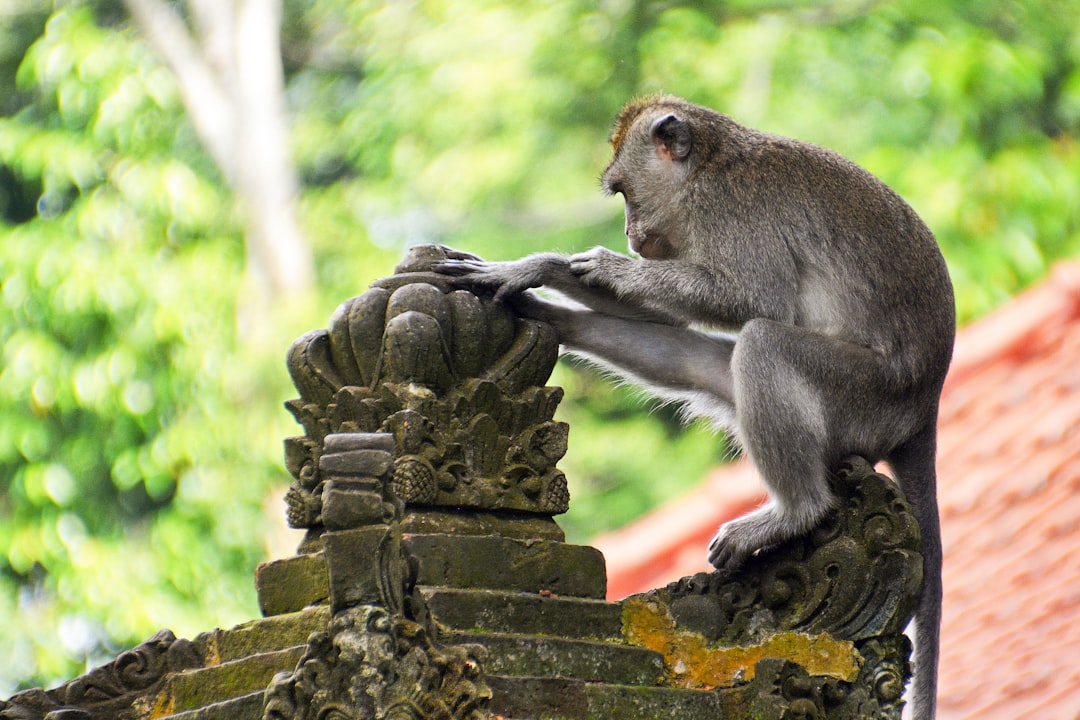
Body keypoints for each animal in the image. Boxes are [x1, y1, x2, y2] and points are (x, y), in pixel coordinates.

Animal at [429, 95, 954, 720]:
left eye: (625, 191)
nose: (629, 235)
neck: (707, 168)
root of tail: (924, 408)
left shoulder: (734, 214)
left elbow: (755, 298)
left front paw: (599, 266)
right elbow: (666, 316)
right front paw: (541, 271)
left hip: (863, 396)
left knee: (763, 343)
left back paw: (793, 512)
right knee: (704, 358)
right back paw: (557, 320)